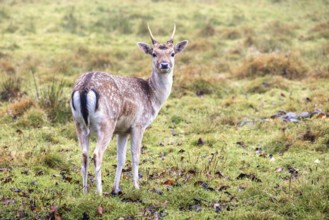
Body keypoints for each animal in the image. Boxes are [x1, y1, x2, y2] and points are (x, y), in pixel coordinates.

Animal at [70, 24, 187, 195]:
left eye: (172, 53)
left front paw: (116, 188)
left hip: (78, 123)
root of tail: (84, 87)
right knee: (97, 154)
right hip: (106, 123)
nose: (164, 64)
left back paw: (85, 191)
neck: (152, 97)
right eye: (154, 53)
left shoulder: (123, 130)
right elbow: (136, 154)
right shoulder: (139, 124)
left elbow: (121, 158)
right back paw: (99, 193)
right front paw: (136, 186)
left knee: (84, 154)